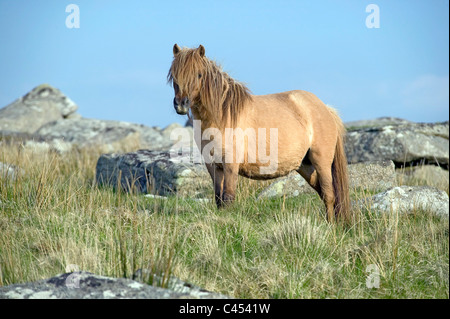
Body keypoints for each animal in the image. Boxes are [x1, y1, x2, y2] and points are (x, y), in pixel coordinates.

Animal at [168, 43, 352, 224]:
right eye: (174, 75)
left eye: (199, 74)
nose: (181, 104)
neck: (222, 117)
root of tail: (325, 108)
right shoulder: (214, 166)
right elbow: (219, 199)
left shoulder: (230, 164)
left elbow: (228, 198)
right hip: (305, 166)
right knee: (324, 193)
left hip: (321, 162)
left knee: (329, 195)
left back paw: (331, 226)